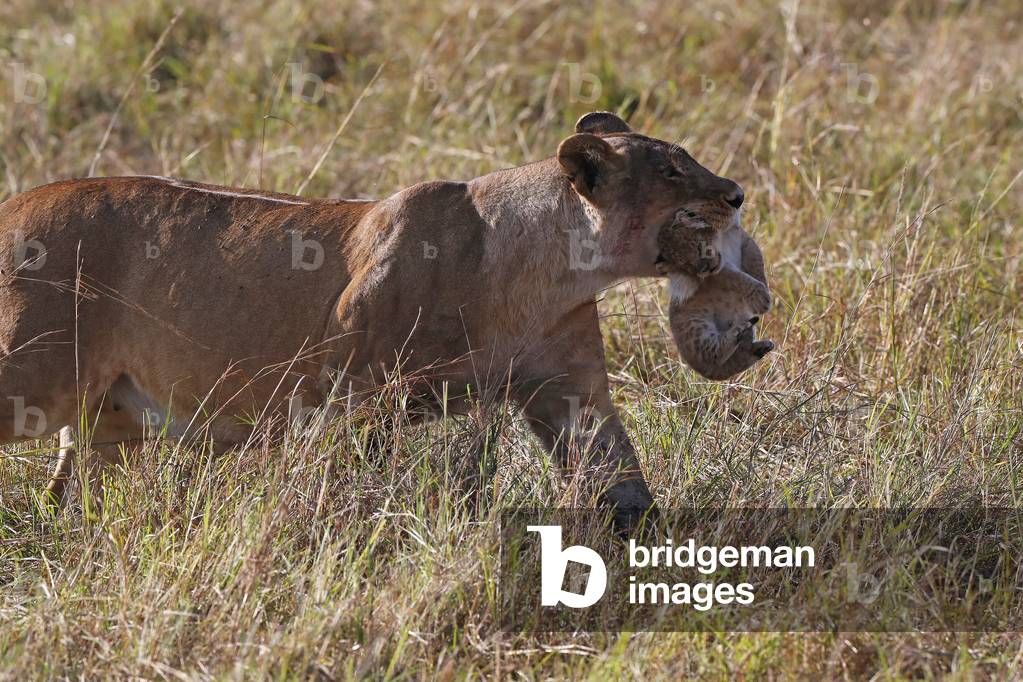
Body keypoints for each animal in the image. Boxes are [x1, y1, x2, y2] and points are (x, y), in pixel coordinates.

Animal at [0, 111, 749, 523]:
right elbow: (360, 485)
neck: (547, 272)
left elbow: (619, 477)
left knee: (76, 488)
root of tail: (12, 204)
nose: (738, 192)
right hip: (30, 377)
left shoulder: (569, 387)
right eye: (673, 171)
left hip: (110, 417)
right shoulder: (359, 392)